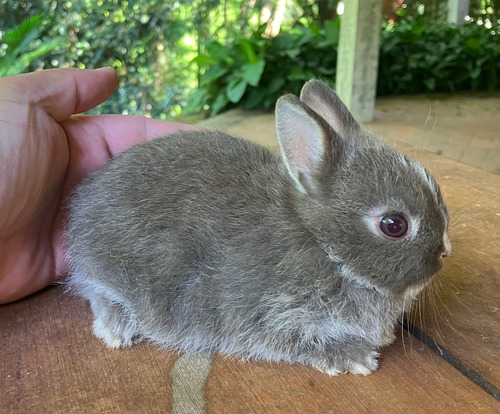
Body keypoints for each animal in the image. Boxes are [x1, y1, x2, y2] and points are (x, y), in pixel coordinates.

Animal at [64, 80, 452, 376]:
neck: (324, 244)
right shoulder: (271, 313)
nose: (444, 252)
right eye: (394, 225)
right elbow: (300, 340)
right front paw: (355, 357)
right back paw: (118, 331)